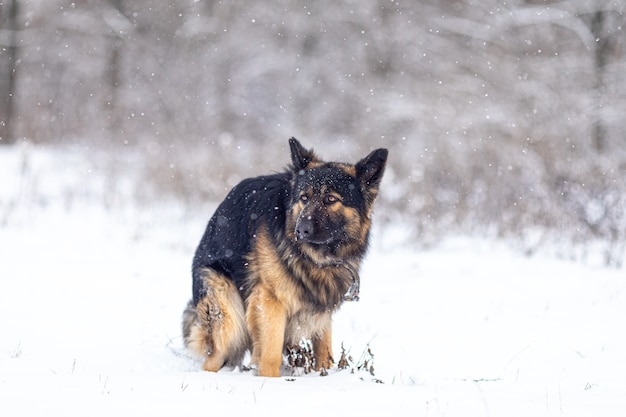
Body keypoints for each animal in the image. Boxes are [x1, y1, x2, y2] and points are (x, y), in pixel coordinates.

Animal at [180, 137, 386, 376]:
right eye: (304, 197)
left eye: (330, 199)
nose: (301, 230)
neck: (316, 257)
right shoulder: (270, 300)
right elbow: (270, 353)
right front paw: (270, 380)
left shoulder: (321, 306)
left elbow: (324, 349)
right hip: (229, 315)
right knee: (213, 358)